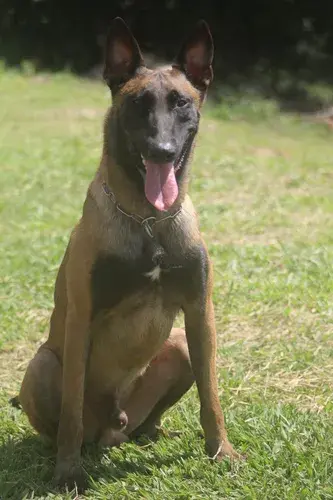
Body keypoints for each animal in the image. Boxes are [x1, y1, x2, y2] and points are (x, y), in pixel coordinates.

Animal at [16, 17, 240, 490]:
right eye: (138, 104)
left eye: (181, 103)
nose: (162, 152)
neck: (146, 220)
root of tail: (112, 428)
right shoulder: (82, 317)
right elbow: (71, 412)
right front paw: (68, 472)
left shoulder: (199, 314)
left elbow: (211, 398)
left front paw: (222, 453)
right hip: (43, 363)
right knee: (66, 422)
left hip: (179, 348)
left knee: (144, 419)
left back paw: (151, 431)